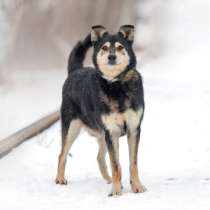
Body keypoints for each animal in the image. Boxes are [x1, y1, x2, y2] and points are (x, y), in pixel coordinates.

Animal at [55, 25, 145, 197]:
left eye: (120, 47)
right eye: (104, 47)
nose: (111, 57)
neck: (116, 86)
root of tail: (75, 71)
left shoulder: (133, 130)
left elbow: (133, 163)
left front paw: (136, 186)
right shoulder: (112, 132)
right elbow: (115, 164)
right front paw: (116, 191)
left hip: (102, 135)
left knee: (100, 158)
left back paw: (110, 179)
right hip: (72, 129)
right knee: (62, 154)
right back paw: (60, 179)